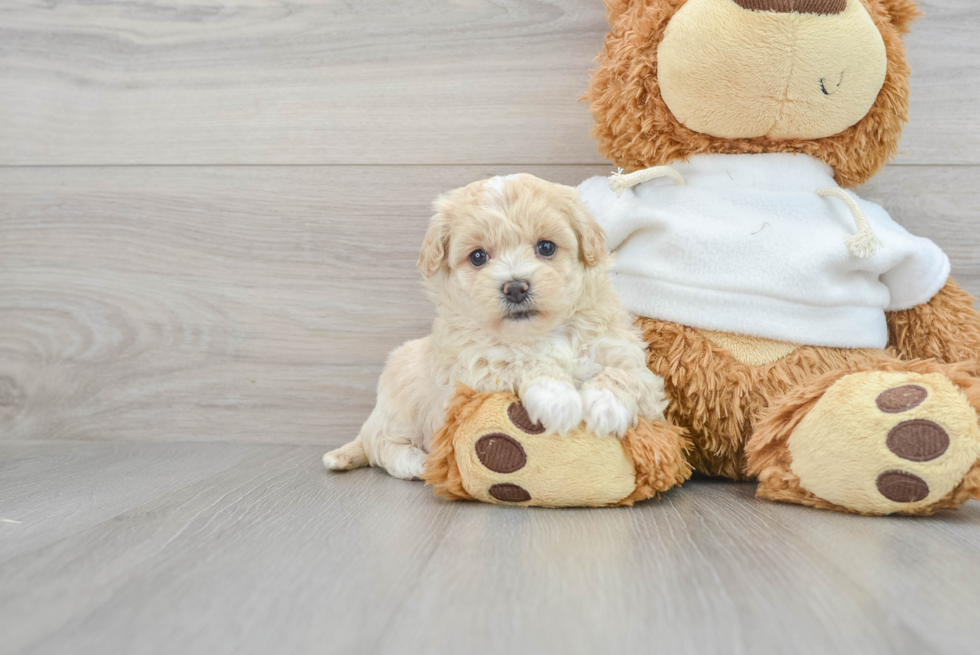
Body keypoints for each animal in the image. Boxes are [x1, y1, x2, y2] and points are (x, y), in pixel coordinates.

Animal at [322, 174, 668, 482]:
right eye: (478, 256)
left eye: (546, 247)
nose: (515, 287)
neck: (540, 332)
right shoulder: (472, 371)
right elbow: (521, 360)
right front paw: (559, 400)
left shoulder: (622, 348)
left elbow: (626, 373)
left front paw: (607, 405)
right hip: (399, 397)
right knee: (381, 446)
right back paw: (417, 463)